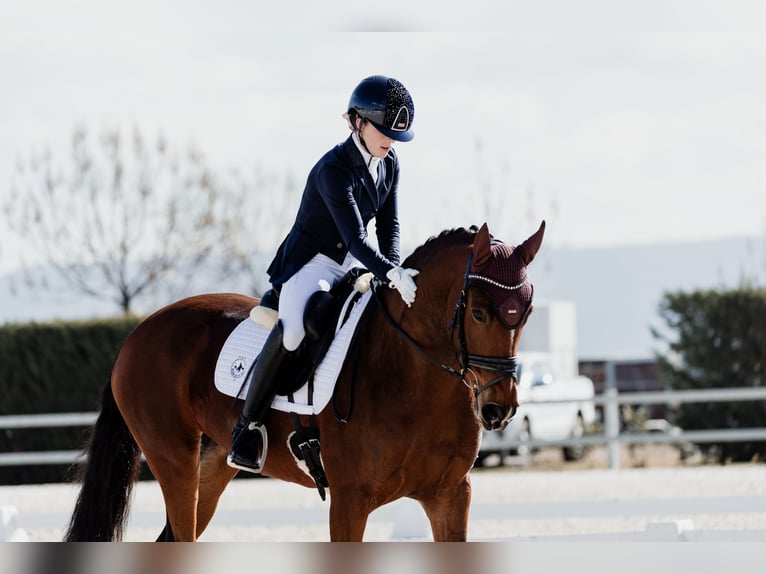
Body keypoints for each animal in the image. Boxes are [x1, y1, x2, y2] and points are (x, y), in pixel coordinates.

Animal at [64, 220, 545, 542]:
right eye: (478, 313)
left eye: (527, 312)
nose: (499, 409)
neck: (414, 378)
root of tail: (136, 334)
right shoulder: (350, 502)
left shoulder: (450, 496)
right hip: (173, 459)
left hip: (212, 465)